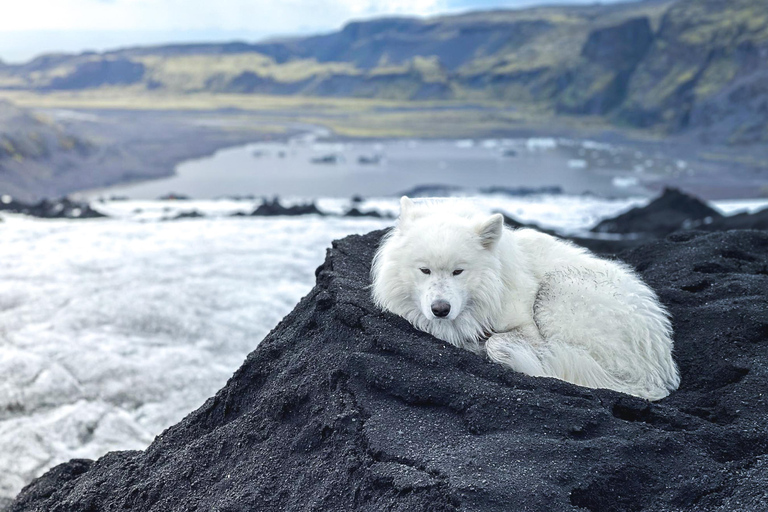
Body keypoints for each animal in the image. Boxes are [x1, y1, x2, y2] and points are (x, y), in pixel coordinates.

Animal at [372, 198, 680, 402]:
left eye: (458, 271)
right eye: (424, 270)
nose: (440, 309)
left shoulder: (527, 326)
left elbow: (501, 342)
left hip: (558, 289)